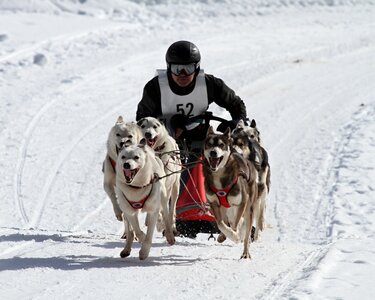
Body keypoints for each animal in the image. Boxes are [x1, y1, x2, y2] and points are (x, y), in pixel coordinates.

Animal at [203, 126, 258, 260]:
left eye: (221, 145)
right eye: (209, 144)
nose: (213, 152)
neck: (218, 175)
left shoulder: (242, 202)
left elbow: (235, 226)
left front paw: (235, 236)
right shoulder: (213, 203)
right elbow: (220, 223)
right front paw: (224, 235)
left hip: (248, 208)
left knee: (246, 231)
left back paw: (245, 252)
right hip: (225, 208)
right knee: (226, 220)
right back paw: (223, 236)